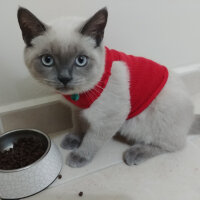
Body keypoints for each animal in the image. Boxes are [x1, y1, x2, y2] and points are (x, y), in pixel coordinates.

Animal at [17, 7, 197, 167]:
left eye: (81, 60)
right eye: (47, 60)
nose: (64, 78)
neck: (79, 94)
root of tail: (191, 118)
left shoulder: (110, 117)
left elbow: (91, 139)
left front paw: (79, 156)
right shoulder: (77, 109)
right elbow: (77, 124)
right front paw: (73, 140)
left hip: (139, 122)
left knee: (173, 145)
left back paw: (134, 153)